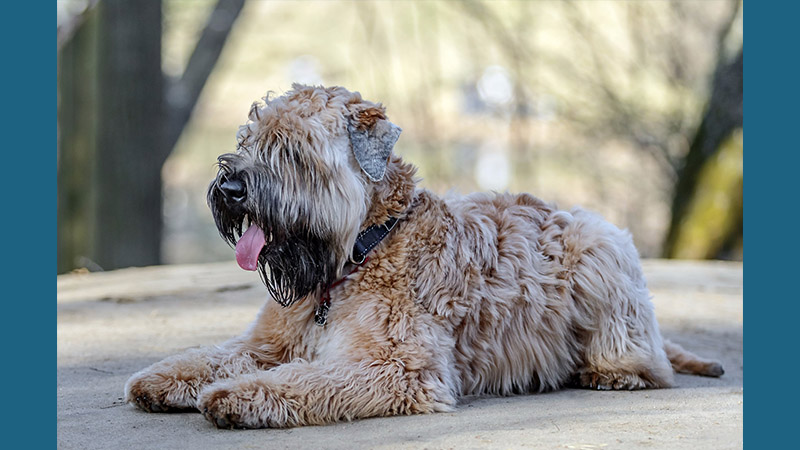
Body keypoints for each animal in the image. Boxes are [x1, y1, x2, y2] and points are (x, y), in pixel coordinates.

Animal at [123, 84, 724, 428]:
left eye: (293, 150)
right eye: (248, 138)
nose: (229, 189)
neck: (359, 252)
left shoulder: (393, 366)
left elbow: (300, 381)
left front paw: (234, 397)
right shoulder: (270, 343)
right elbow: (215, 355)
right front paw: (163, 378)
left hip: (602, 246)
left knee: (643, 357)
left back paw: (611, 372)